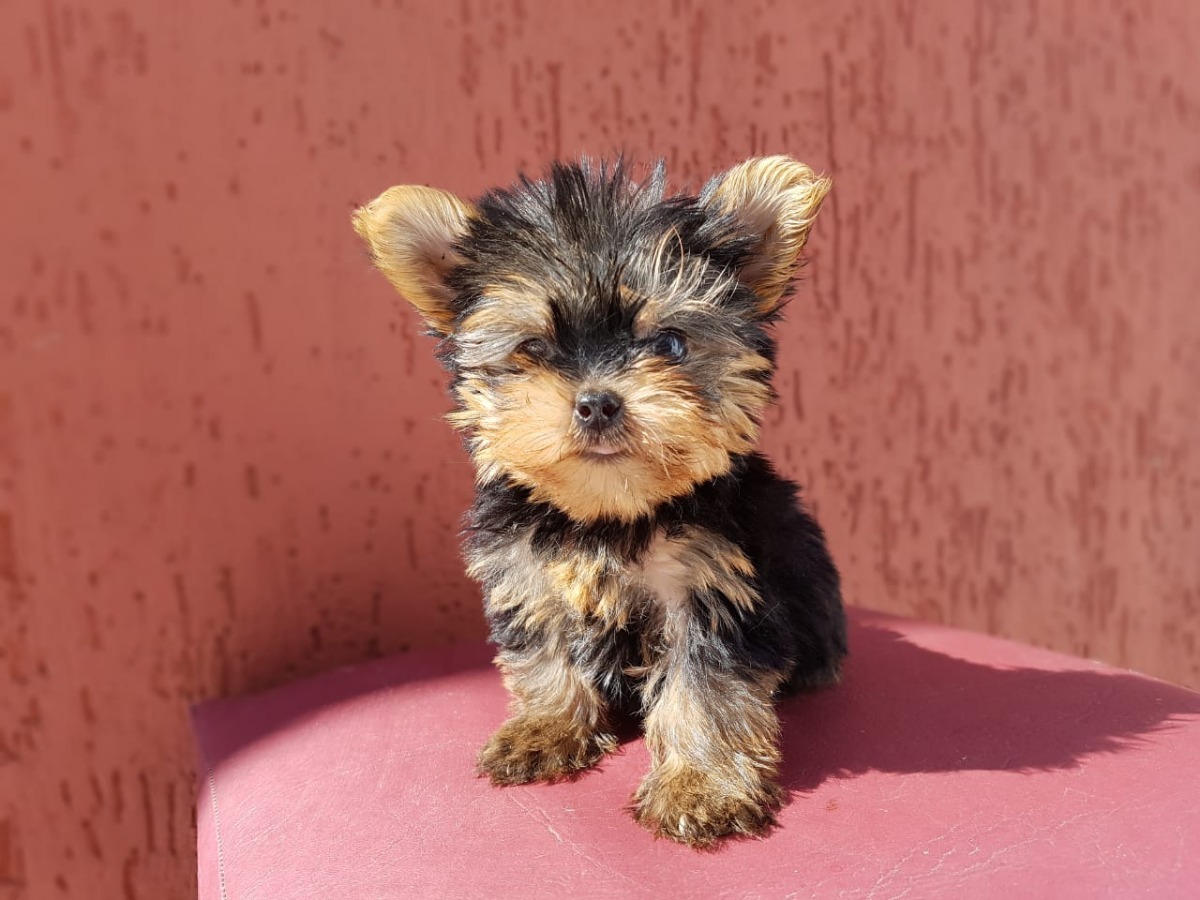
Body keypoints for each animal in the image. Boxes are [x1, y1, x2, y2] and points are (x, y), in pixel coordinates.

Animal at [350, 158, 849, 849]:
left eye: (670, 344)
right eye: (532, 348)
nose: (597, 402)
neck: (606, 515)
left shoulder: (712, 585)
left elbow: (705, 686)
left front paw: (701, 785)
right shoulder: (527, 571)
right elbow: (543, 651)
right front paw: (546, 727)